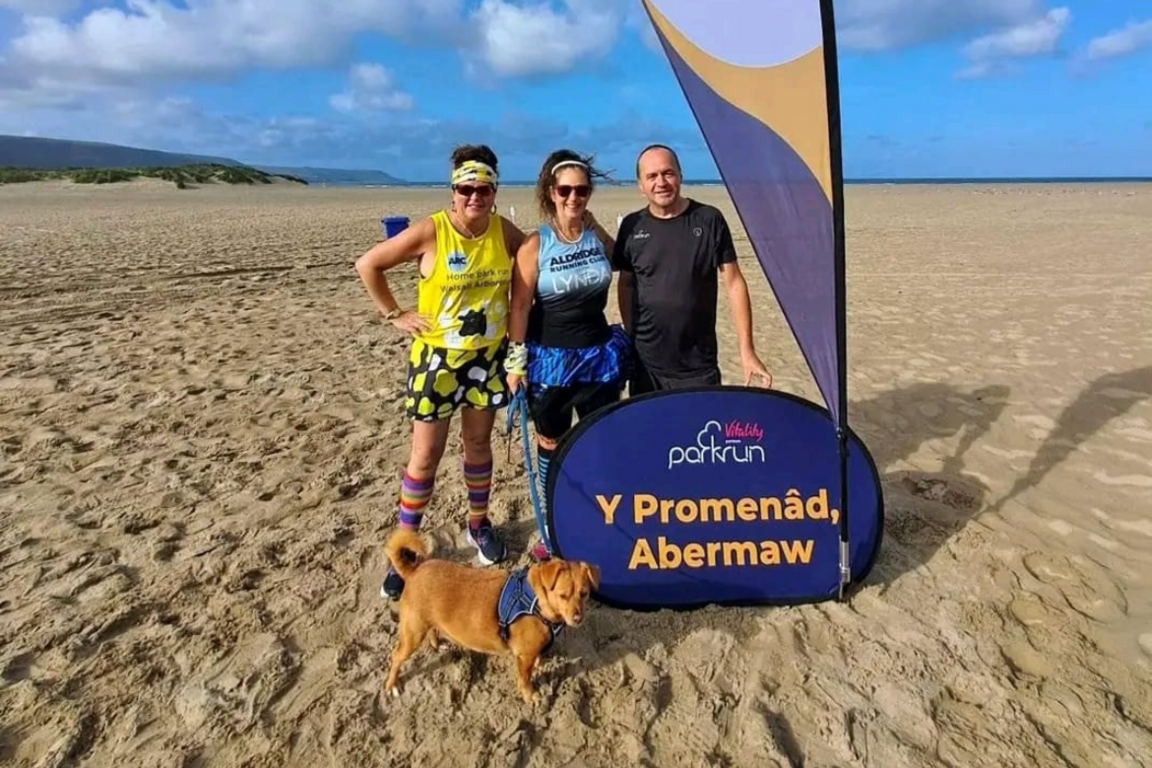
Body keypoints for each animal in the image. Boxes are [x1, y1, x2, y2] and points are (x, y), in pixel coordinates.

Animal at [384, 531, 603, 704]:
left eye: (584, 593)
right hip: (412, 633)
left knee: (431, 631)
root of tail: (413, 570)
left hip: (425, 623)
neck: (536, 600)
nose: (577, 618)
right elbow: (525, 680)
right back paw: (391, 684)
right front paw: (530, 696)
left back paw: (438, 645)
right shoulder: (524, 657)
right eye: (563, 595)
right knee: (396, 657)